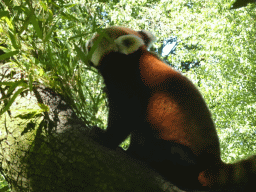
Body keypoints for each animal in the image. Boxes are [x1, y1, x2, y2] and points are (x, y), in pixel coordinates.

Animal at [86, 26, 256, 191]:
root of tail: (214, 162)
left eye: (91, 44)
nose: (85, 45)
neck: (135, 57)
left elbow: (125, 115)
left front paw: (105, 137)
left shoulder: (129, 80)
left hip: (184, 156)